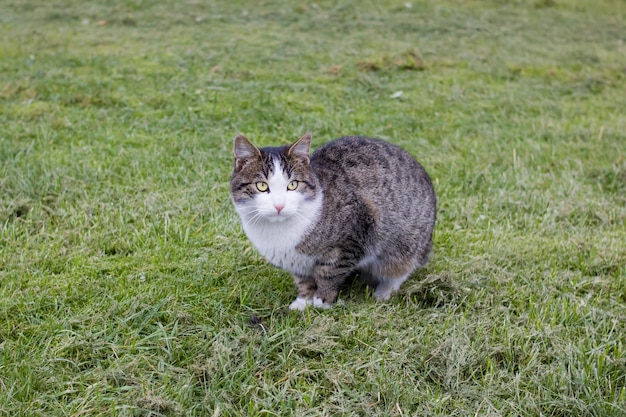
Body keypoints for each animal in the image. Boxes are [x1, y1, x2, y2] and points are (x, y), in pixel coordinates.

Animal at [229, 133, 434, 308]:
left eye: (293, 185)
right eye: (262, 186)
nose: (279, 206)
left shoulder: (353, 236)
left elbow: (329, 272)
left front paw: (323, 299)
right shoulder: (295, 261)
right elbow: (303, 281)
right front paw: (304, 301)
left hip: (406, 242)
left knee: (399, 269)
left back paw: (384, 291)